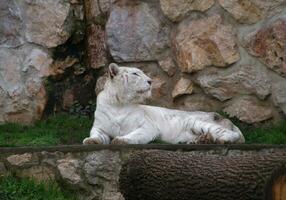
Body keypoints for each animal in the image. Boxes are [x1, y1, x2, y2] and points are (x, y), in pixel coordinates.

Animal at [82, 63, 244, 145]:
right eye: (135, 74)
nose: (150, 81)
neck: (119, 103)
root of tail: (229, 121)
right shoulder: (100, 127)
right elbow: (96, 135)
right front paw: (91, 141)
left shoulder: (147, 128)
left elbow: (134, 135)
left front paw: (121, 140)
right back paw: (202, 140)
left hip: (197, 122)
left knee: (230, 134)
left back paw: (221, 140)